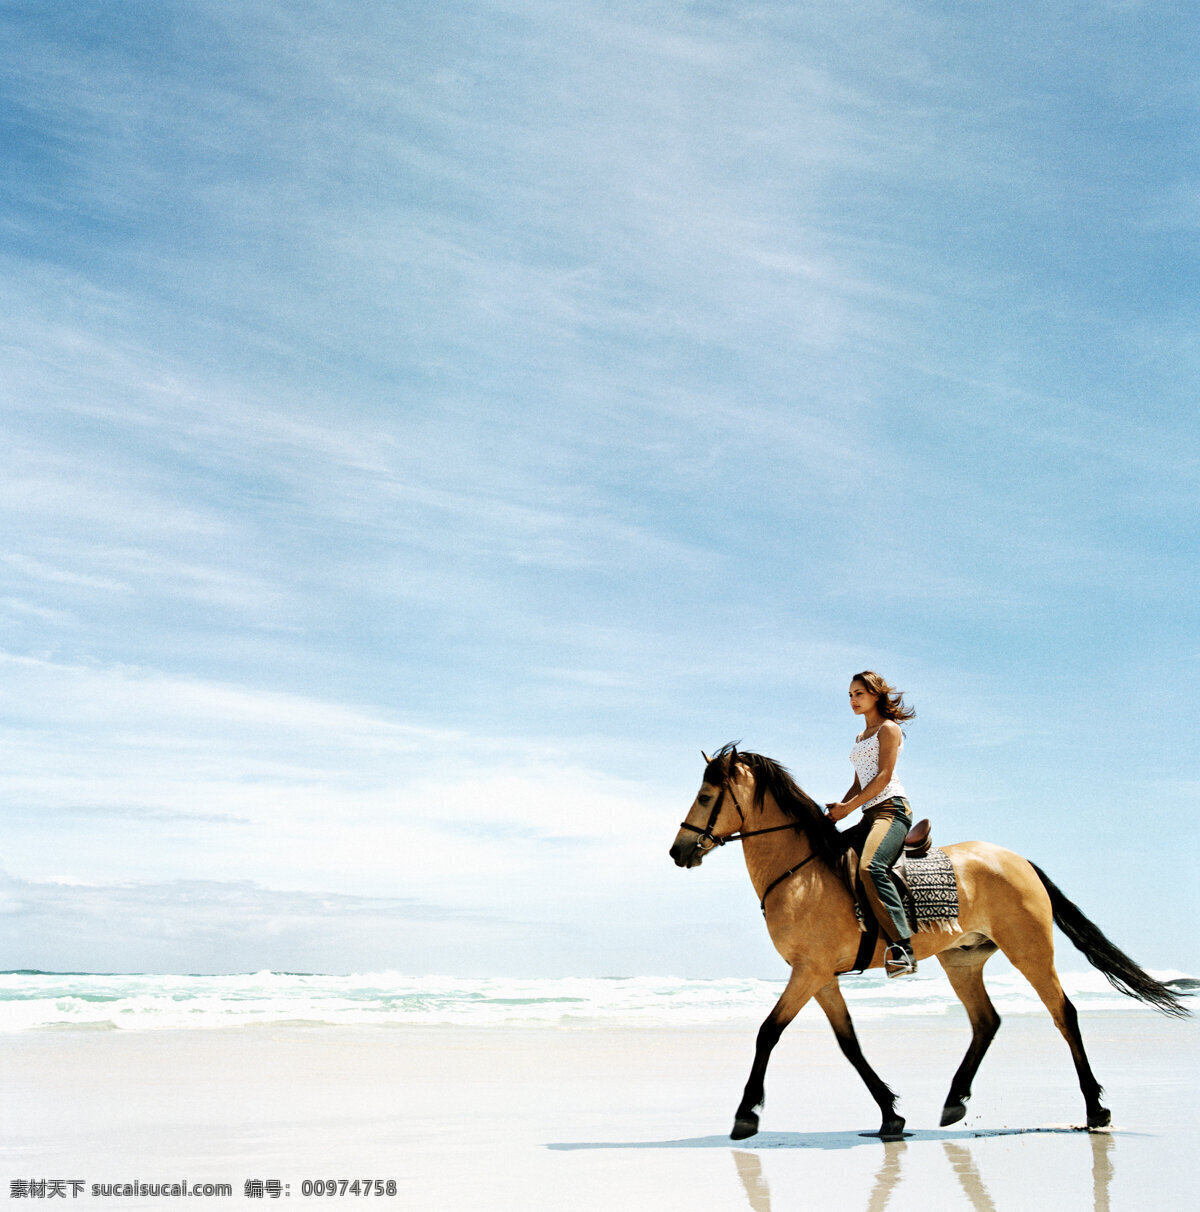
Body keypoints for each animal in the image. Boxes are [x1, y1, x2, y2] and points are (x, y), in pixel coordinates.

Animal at [673, 741, 1187, 1139]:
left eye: (705, 796)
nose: (679, 852)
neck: (802, 872)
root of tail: (1017, 858)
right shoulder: (820, 977)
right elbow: (849, 1044)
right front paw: (891, 1115)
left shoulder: (809, 971)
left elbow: (768, 1032)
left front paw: (745, 1114)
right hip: (962, 961)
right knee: (987, 1021)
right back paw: (955, 1101)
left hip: (1030, 950)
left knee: (1065, 1014)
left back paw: (1096, 1110)